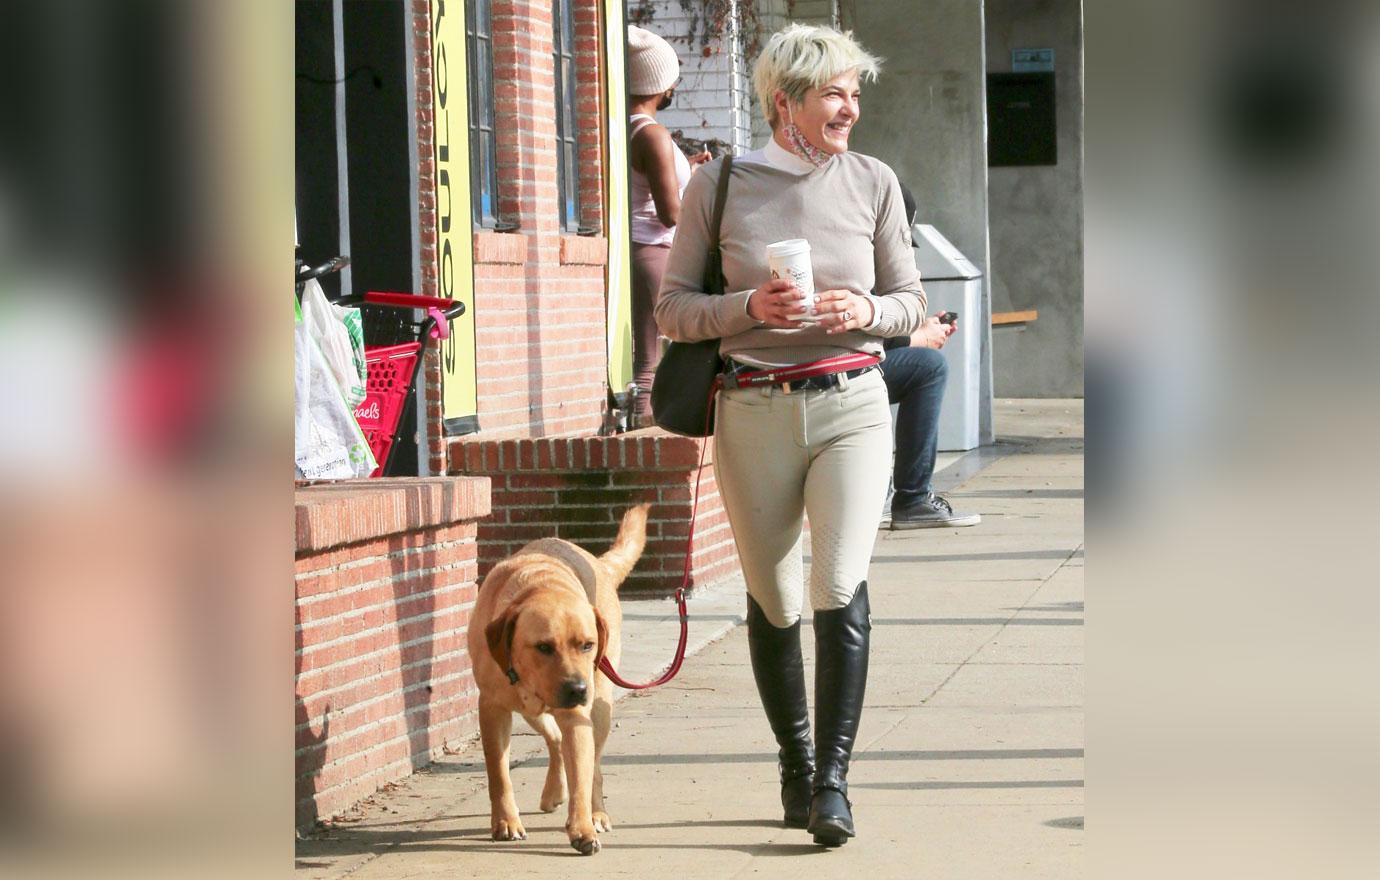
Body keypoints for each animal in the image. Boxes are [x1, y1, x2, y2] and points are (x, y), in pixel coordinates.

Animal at [466, 507, 648, 860]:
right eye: (544, 647)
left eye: (587, 645)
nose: (578, 689)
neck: (540, 586)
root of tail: (599, 564)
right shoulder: (492, 709)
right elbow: (499, 773)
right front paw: (506, 822)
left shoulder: (577, 717)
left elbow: (582, 774)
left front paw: (582, 829)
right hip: (531, 712)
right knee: (553, 738)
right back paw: (553, 791)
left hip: (599, 709)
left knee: (593, 767)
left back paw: (596, 812)